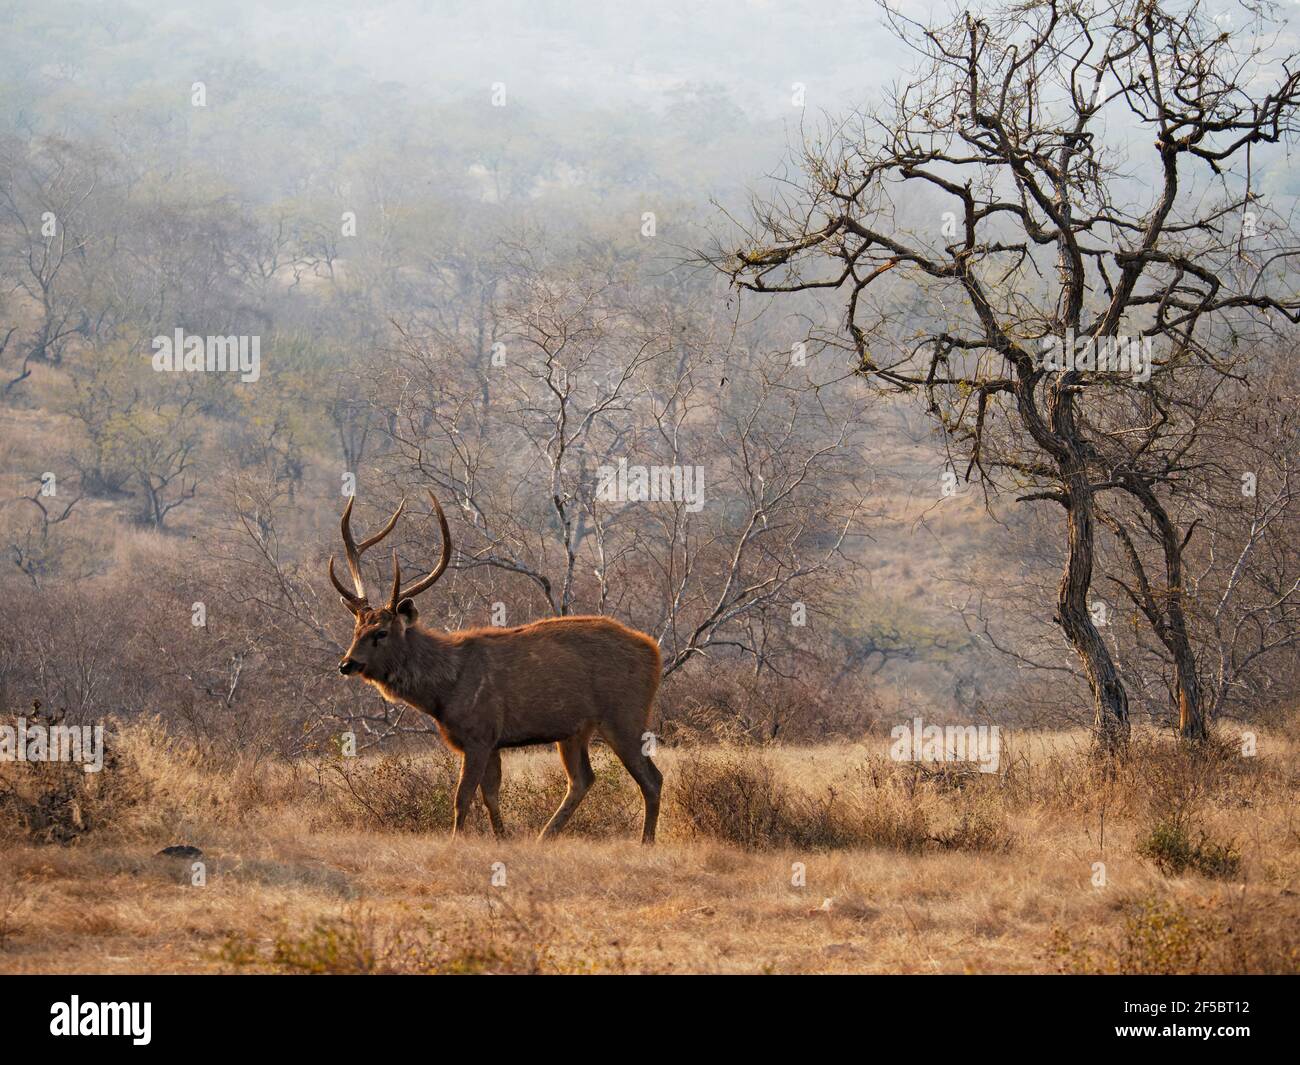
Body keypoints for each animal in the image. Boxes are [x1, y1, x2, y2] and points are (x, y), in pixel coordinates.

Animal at [329, 490, 663, 843]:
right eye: (356, 629)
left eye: (381, 632)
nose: (347, 664)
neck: (443, 693)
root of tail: (653, 651)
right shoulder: (490, 741)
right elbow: (490, 795)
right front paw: (503, 839)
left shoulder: (479, 733)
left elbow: (462, 797)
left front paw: (456, 841)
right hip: (575, 729)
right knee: (583, 779)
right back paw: (544, 836)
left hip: (625, 714)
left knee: (651, 778)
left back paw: (645, 841)